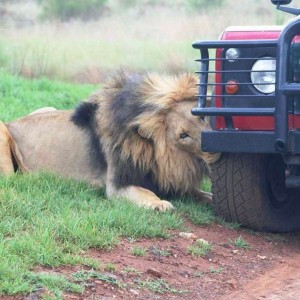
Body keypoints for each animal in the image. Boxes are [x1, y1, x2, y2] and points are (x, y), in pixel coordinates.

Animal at [0, 71, 220, 211]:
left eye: (201, 117)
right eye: (183, 135)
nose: (214, 146)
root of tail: (12, 121)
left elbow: (201, 194)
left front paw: (212, 199)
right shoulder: (116, 186)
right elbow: (144, 191)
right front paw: (160, 204)